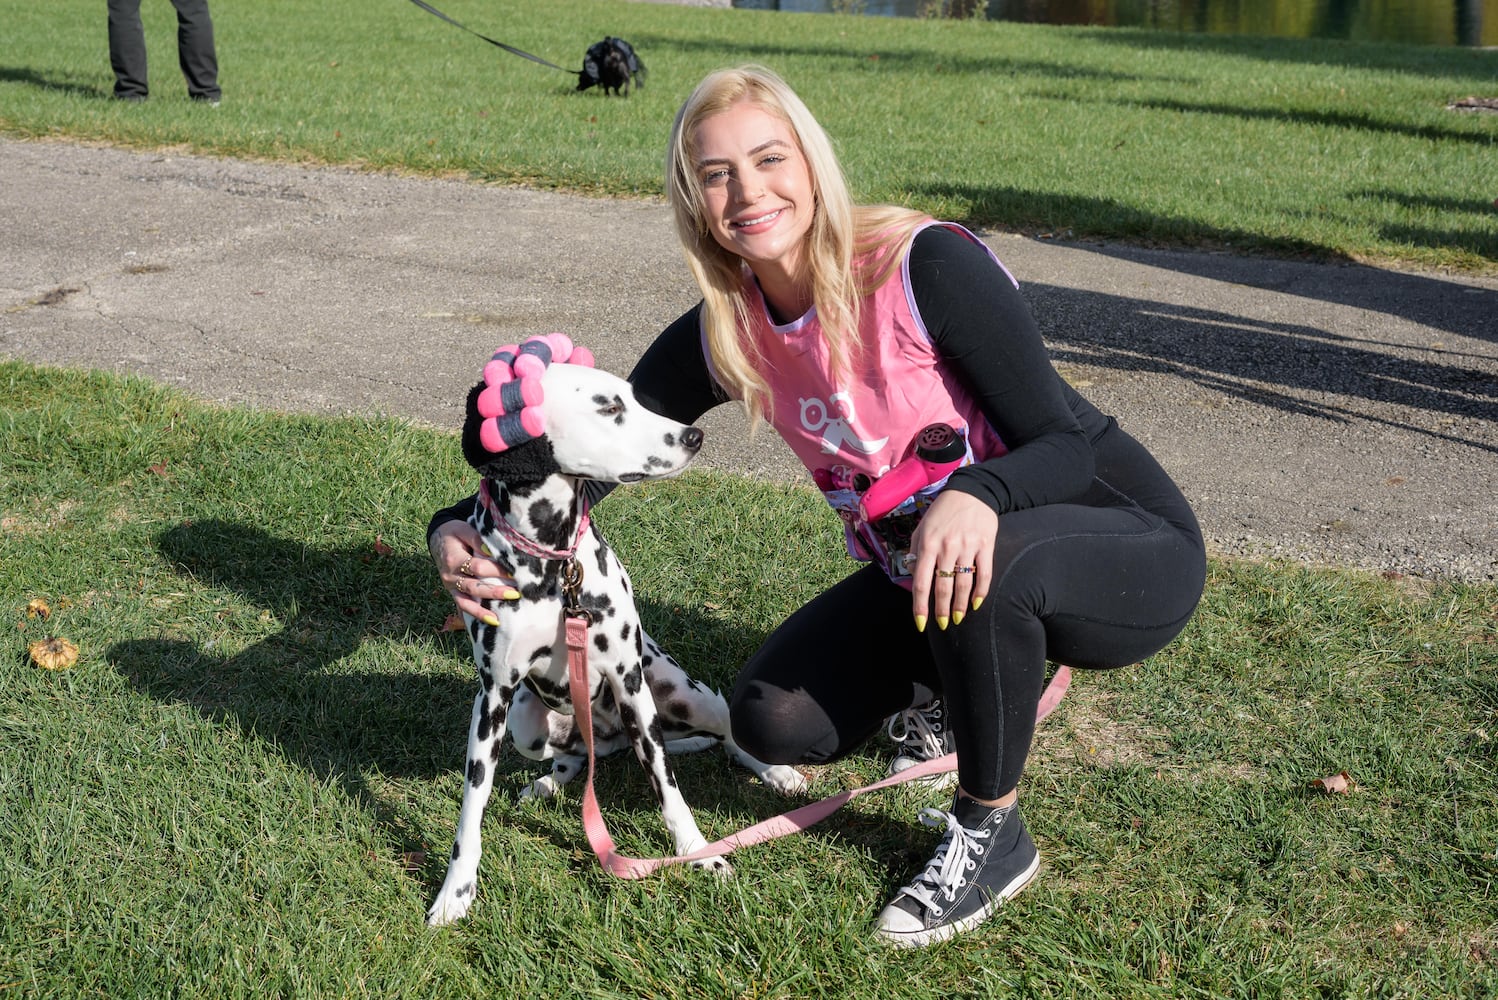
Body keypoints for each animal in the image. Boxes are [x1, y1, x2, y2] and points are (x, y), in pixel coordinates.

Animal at [431, 338, 808, 928]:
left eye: (634, 397)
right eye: (609, 408)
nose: (694, 436)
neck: (555, 566)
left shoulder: (630, 683)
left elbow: (668, 788)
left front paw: (698, 854)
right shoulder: (493, 699)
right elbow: (472, 809)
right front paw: (455, 892)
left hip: (684, 696)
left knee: (727, 732)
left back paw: (774, 771)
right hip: (527, 725)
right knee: (578, 757)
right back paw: (547, 782)